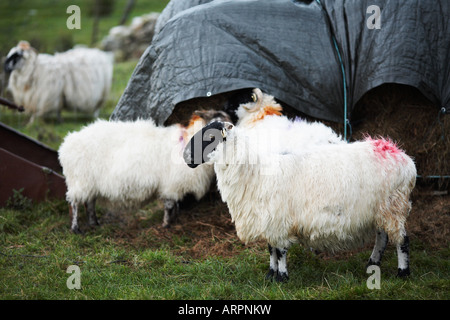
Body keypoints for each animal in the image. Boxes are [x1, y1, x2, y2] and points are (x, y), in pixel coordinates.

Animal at [58, 109, 230, 232]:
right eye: (215, 126)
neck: (188, 141)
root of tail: (67, 144)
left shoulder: (173, 185)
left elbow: (174, 204)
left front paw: (174, 219)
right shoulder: (170, 184)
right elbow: (169, 205)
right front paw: (166, 225)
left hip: (89, 182)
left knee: (90, 202)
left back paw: (94, 223)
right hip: (79, 180)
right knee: (74, 203)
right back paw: (76, 228)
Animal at [185, 120, 416, 282]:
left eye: (211, 137)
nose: (186, 157)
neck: (254, 172)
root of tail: (397, 152)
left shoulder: (279, 220)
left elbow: (280, 250)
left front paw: (282, 278)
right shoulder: (270, 220)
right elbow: (271, 248)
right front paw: (270, 275)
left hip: (393, 205)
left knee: (402, 241)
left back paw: (402, 272)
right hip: (381, 208)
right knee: (382, 237)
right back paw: (372, 264)